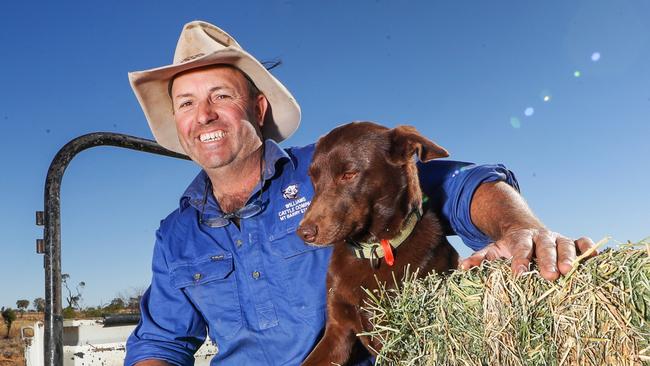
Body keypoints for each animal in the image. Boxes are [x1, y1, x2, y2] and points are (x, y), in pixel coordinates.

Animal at [296, 121, 458, 364]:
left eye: (349, 174)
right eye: (313, 178)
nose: (303, 233)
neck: (371, 250)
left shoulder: (397, 337)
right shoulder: (337, 332)